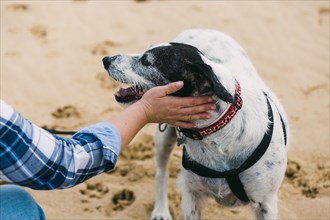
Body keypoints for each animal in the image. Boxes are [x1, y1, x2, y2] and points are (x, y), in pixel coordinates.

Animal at [102, 29, 288, 220]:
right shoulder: (192, 195)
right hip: (163, 138)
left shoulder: (265, 203)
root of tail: (202, 29)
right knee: (161, 172)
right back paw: (161, 210)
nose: (106, 60)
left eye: (147, 61)